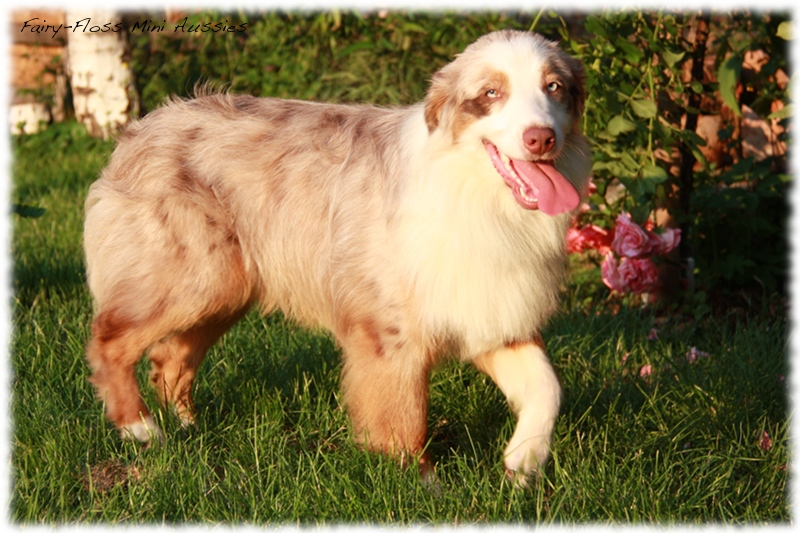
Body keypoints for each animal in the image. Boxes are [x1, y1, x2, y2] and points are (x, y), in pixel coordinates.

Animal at [84, 31, 592, 484]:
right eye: (491, 93)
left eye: (554, 87)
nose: (541, 139)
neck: (478, 197)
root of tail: (142, 126)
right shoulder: (389, 334)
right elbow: (403, 418)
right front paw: (419, 488)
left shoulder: (488, 309)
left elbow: (548, 388)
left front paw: (523, 461)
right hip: (193, 279)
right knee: (109, 340)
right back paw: (140, 429)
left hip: (226, 290)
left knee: (168, 358)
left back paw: (188, 430)